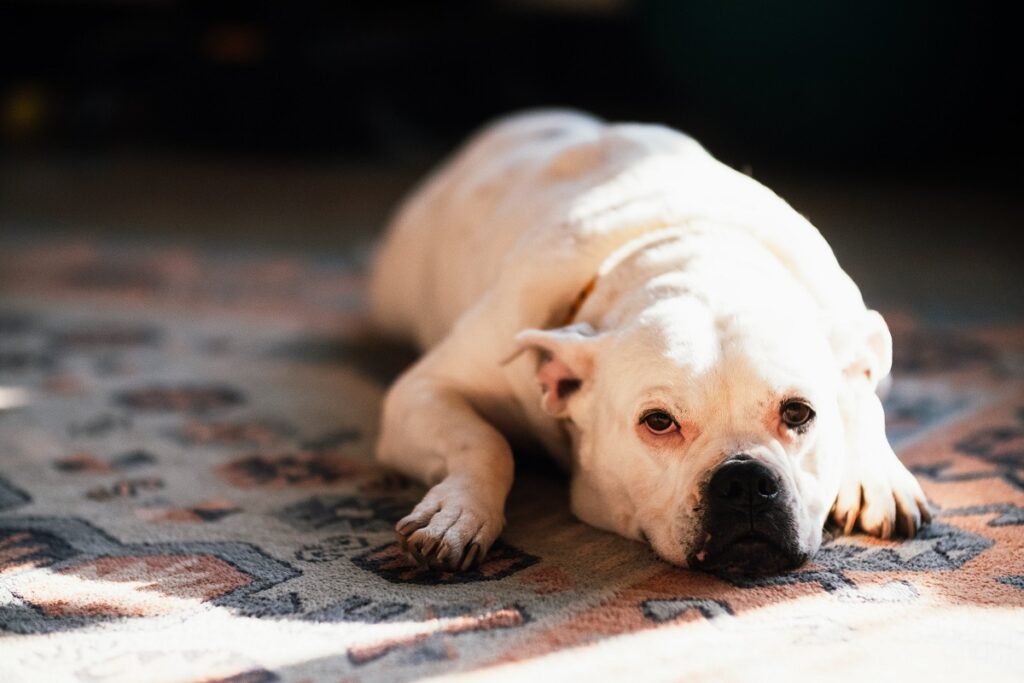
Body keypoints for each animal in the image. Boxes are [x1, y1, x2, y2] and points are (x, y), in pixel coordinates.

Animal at [368, 109, 929, 573]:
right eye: (658, 422)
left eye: (798, 412)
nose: (745, 480)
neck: (694, 253)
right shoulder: (421, 391)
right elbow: (485, 442)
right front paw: (458, 512)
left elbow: (868, 402)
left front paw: (877, 474)